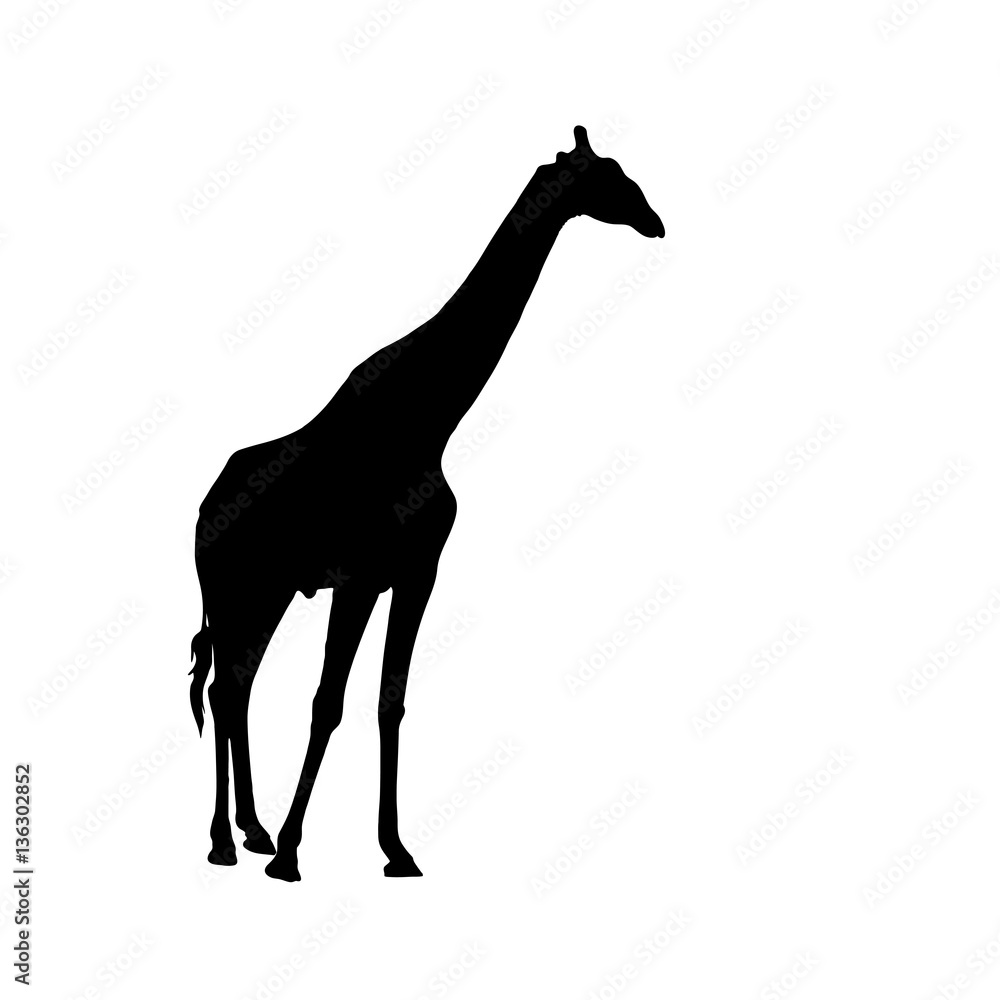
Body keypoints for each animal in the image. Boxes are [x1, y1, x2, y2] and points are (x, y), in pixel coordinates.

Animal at [189, 125, 664, 881]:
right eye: (606, 177)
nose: (655, 221)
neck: (428, 420)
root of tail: (203, 509)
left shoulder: (416, 572)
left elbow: (392, 704)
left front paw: (395, 850)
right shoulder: (359, 575)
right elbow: (328, 702)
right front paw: (293, 855)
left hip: (269, 592)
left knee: (233, 689)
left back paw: (249, 833)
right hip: (236, 589)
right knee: (223, 689)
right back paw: (227, 843)